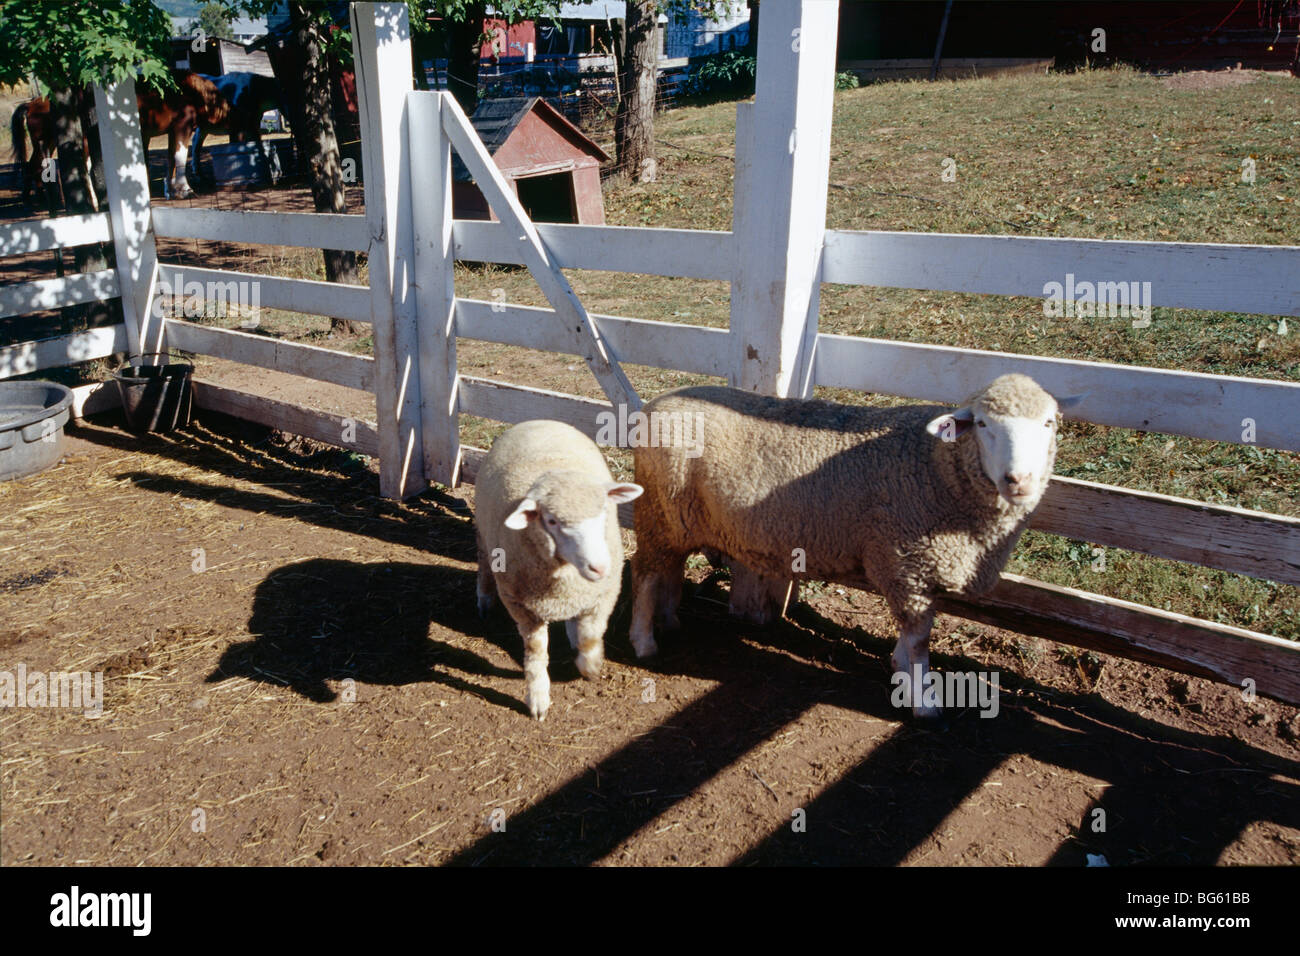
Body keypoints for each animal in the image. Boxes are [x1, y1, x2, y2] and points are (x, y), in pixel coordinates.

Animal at [475, 419, 643, 721]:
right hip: (484, 537)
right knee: (483, 566)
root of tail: (537, 421)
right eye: (551, 521)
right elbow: (536, 651)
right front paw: (538, 697)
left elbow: (591, 635)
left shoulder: (604, 595)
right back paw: (484, 599)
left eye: (604, 511)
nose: (599, 567)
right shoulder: (521, 605)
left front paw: (590, 665)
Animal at [628, 373, 1080, 718]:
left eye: (1048, 424)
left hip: (676, 517)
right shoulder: (908, 562)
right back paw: (643, 641)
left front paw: (900, 670)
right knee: (645, 571)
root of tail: (657, 403)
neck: (937, 465)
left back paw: (668, 620)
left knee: (669, 567)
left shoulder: (910, 567)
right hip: (658, 510)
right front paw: (924, 702)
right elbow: (920, 639)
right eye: (983, 425)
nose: (1018, 480)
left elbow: (911, 635)